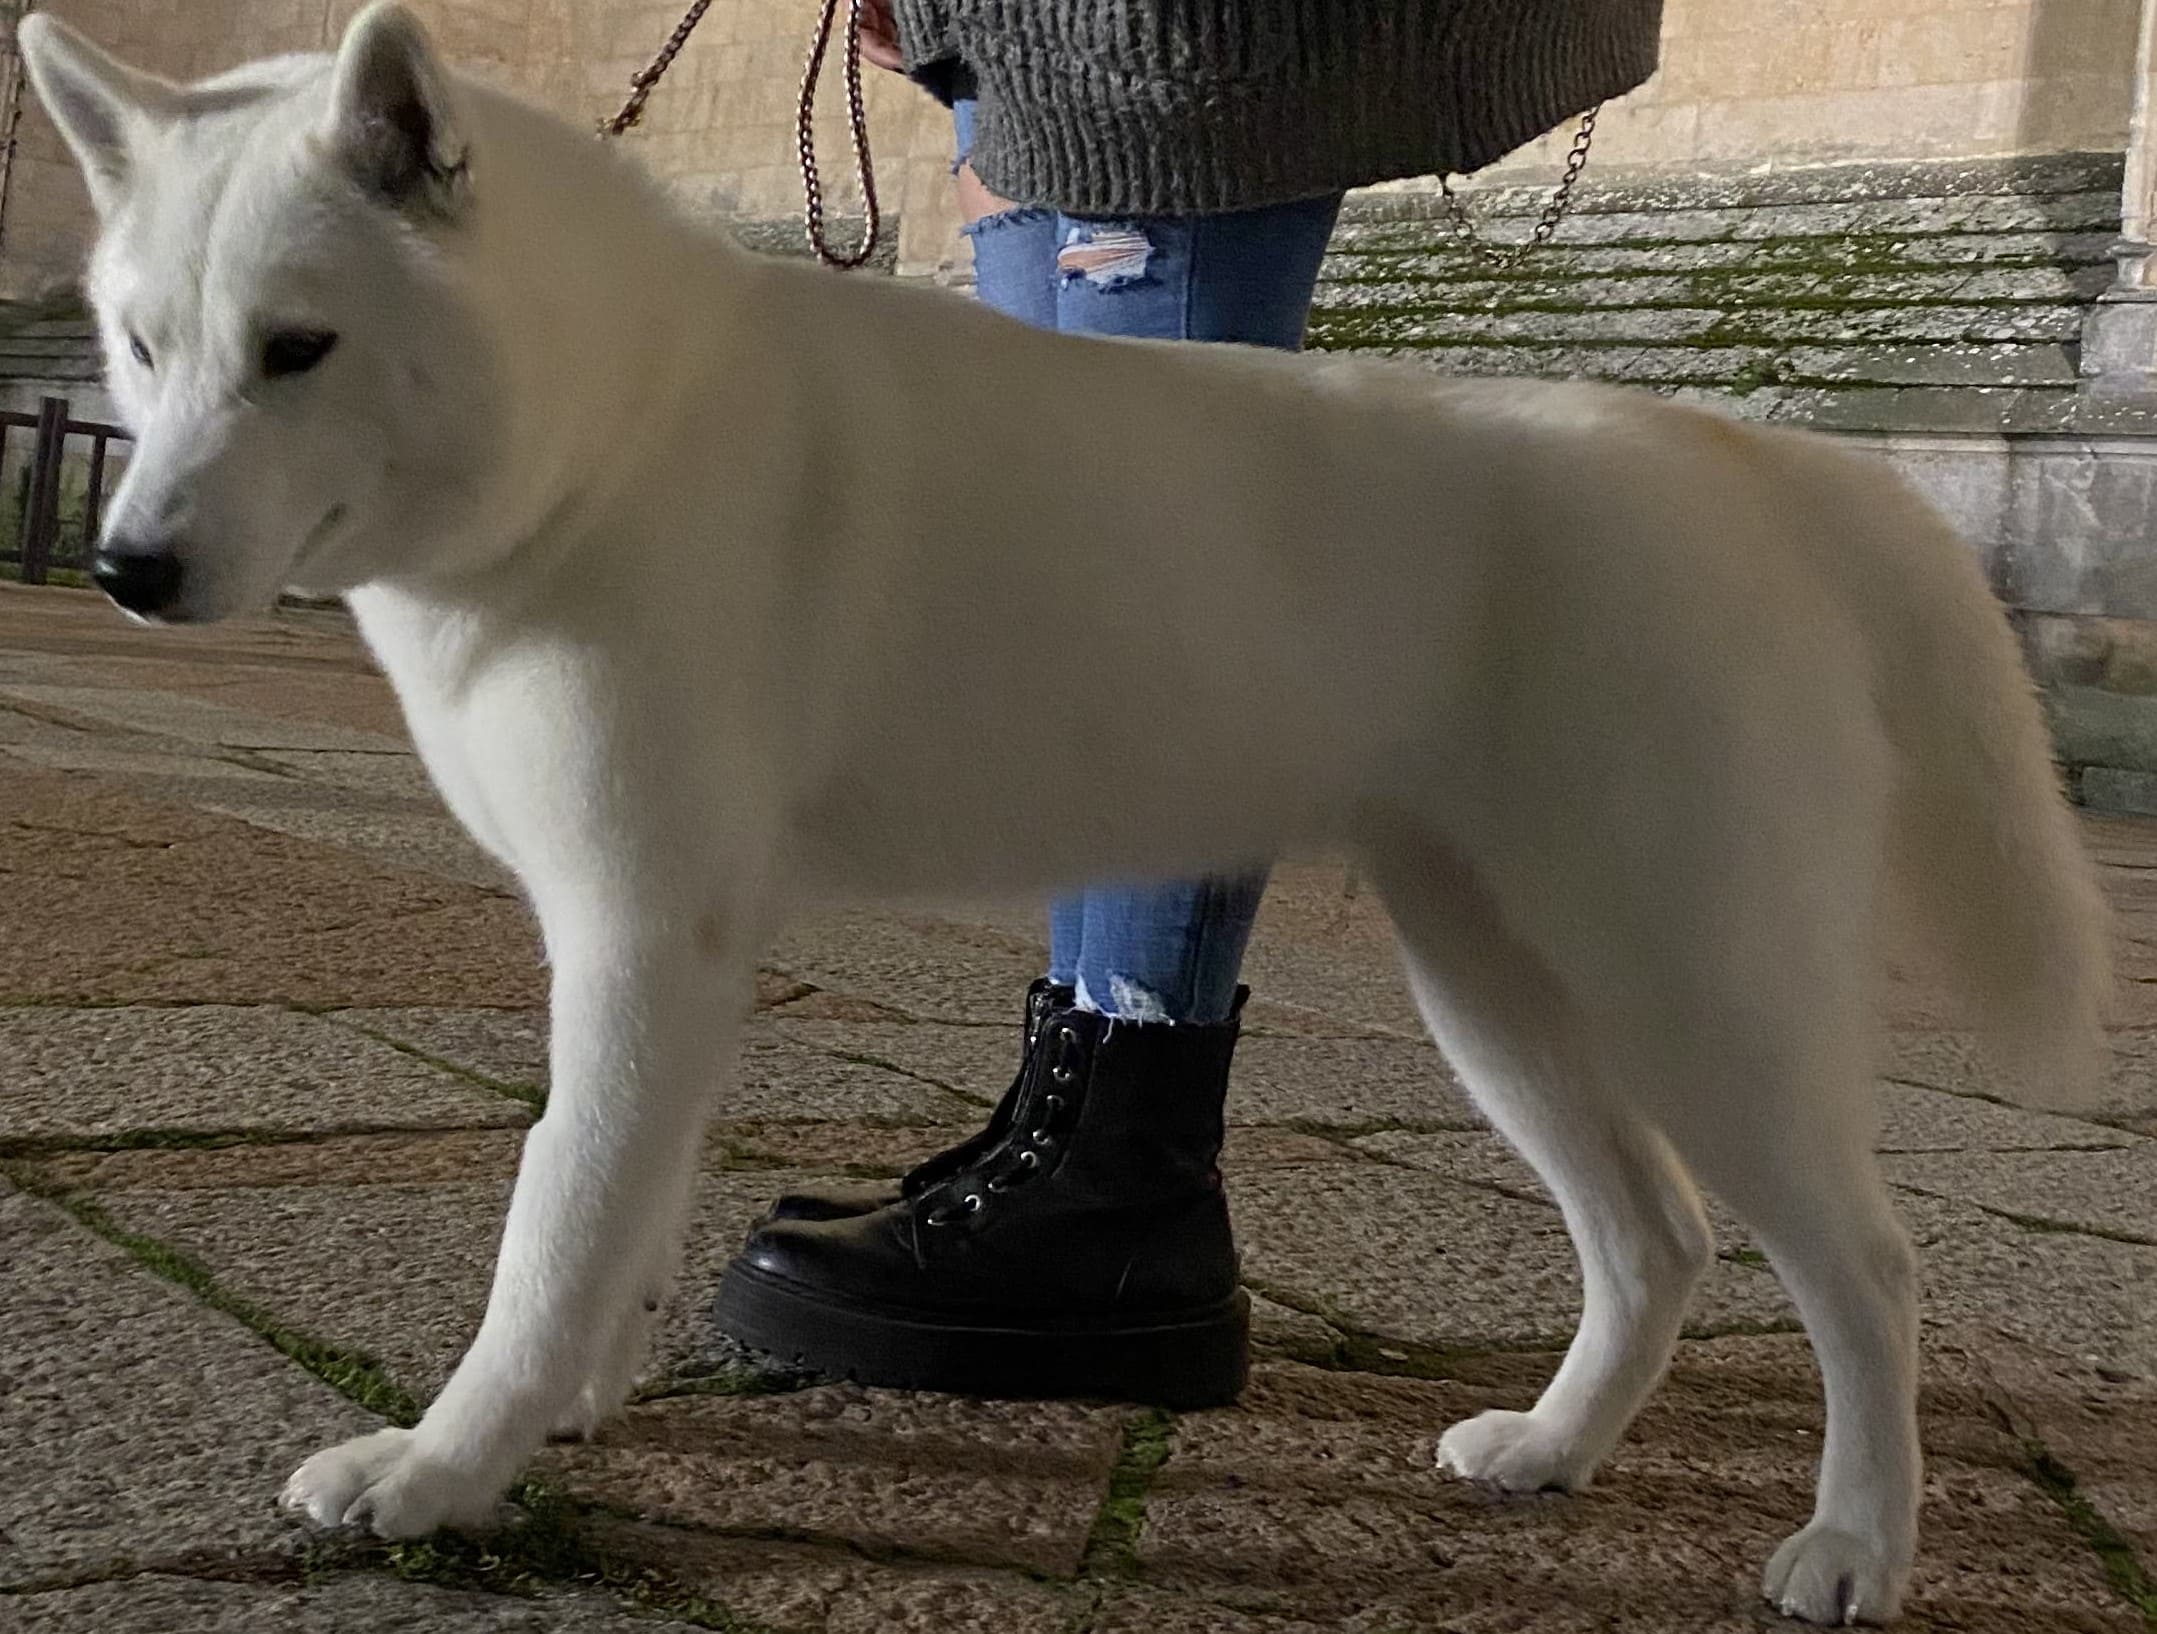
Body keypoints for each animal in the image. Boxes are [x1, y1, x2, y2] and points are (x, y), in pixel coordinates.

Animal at [16, 6, 2105, 1629]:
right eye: (136, 342)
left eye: (297, 346)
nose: (127, 571)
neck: (611, 429)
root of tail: (1754, 461)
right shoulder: (680, 954)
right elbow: (619, 1206)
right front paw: (574, 1406)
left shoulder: (636, 931)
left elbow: (548, 1214)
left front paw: (447, 1464)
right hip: (1494, 979)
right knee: (1658, 1238)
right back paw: (1553, 1447)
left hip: (1690, 984)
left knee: (1864, 1266)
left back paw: (1854, 1543)